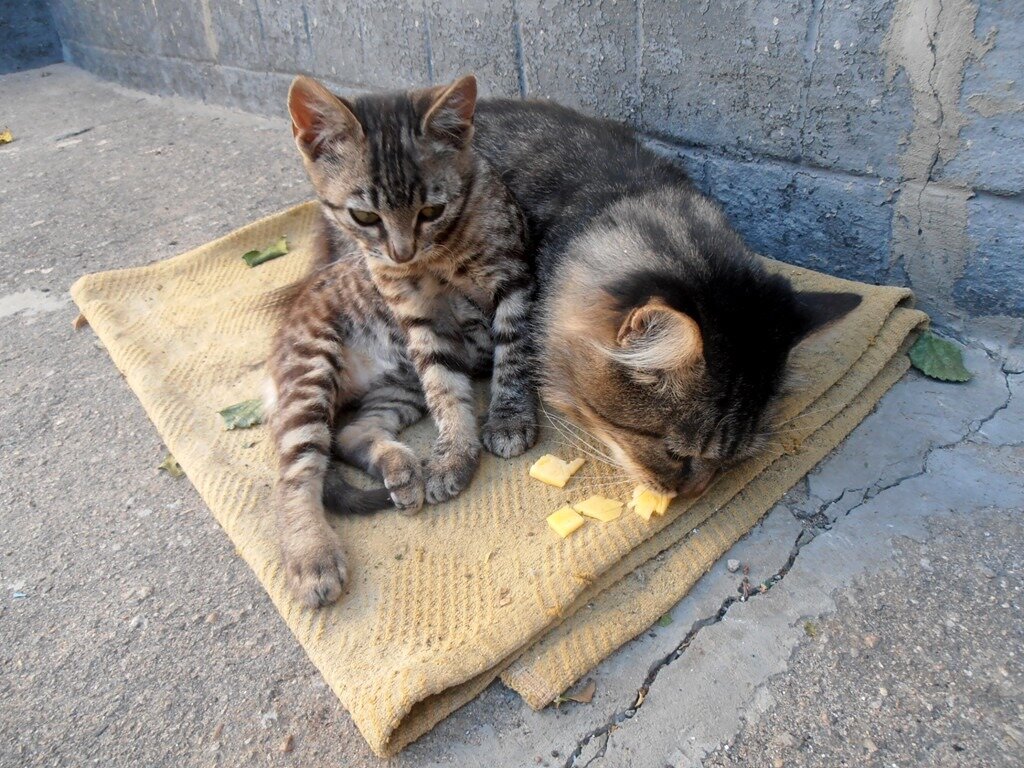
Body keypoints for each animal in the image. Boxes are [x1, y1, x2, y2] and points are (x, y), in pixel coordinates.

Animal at [264, 75, 536, 610]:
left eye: (432, 209)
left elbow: (511, 355)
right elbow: (446, 390)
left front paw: (506, 418)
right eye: (363, 216)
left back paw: (401, 470)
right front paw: (454, 452)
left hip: (398, 384)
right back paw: (310, 553)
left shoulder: (513, 281)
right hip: (311, 366)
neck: (442, 253)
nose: (400, 252)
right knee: (296, 470)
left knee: (350, 434)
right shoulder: (421, 323)